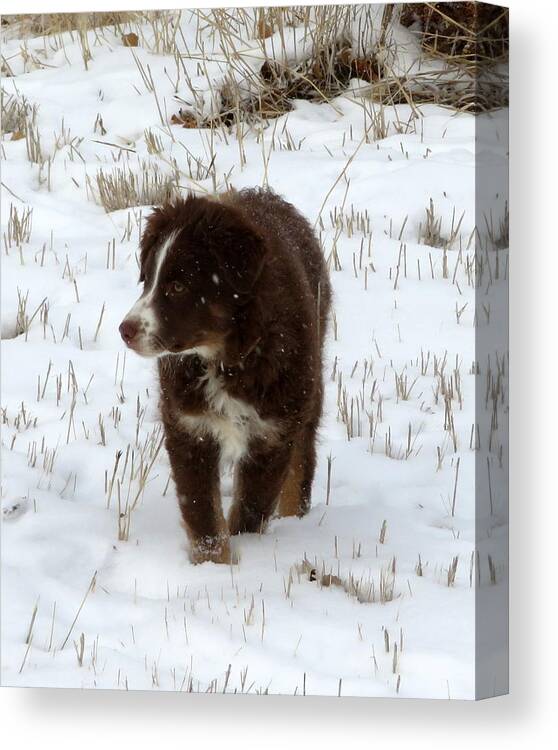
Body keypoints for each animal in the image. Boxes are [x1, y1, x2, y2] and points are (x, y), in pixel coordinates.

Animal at [120, 188, 330, 564]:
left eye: (177, 286)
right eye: (149, 278)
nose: (125, 330)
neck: (224, 361)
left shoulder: (272, 431)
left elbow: (251, 507)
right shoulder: (189, 425)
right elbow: (201, 508)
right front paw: (212, 565)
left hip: (308, 391)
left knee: (302, 462)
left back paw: (295, 517)